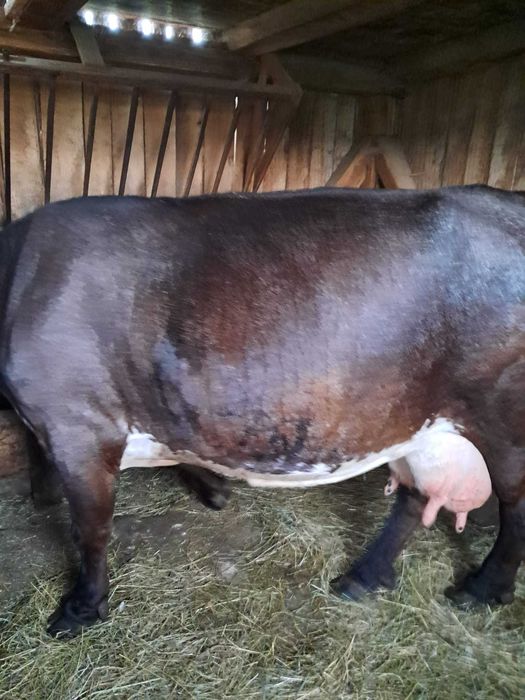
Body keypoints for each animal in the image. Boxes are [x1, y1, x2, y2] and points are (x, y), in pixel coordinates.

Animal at [0, 185, 523, 637]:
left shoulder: (78, 426)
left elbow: (91, 528)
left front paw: (80, 608)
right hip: (420, 422)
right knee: (415, 496)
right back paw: (363, 577)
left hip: (504, 417)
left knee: (514, 503)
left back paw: (484, 588)